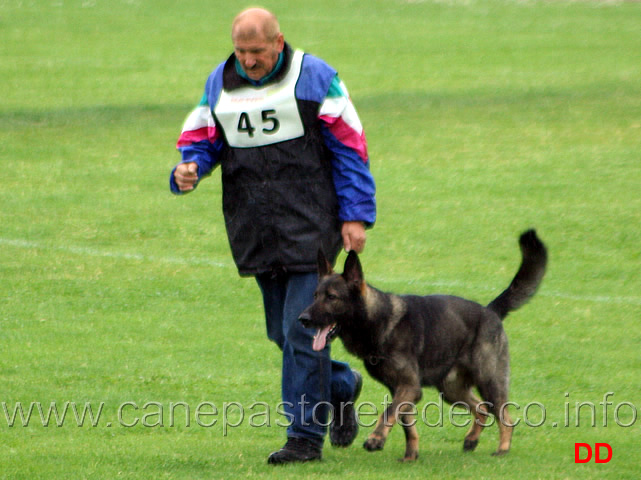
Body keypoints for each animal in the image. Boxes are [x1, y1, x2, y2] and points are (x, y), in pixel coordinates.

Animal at [300, 231, 544, 464]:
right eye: (315, 296)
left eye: (332, 297)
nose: (303, 319)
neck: (379, 320)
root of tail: (490, 310)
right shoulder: (401, 389)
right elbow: (407, 425)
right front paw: (411, 456)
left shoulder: (409, 387)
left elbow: (388, 412)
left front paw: (376, 439)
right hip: (451, 389)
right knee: (482, 409)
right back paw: (472, 440)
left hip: (488, 381)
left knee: (505, 417)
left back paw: (503, 449)